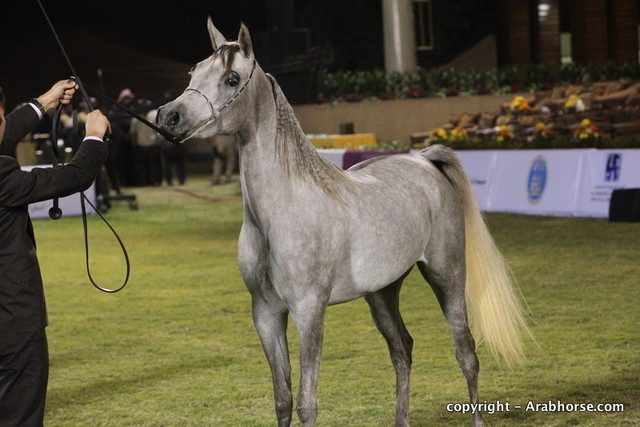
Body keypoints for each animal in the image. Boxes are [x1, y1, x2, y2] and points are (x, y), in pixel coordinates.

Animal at [156, 18, 531, 427]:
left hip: (447, 276)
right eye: (193, 72)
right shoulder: (266, 314)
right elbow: (282, 399)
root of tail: (423, 160)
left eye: (231, 78)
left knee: (466, 352)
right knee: (402, 350)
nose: (167, 117)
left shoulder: (308, 311)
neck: (281, 213)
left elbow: (307, 403)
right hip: (383, 292)